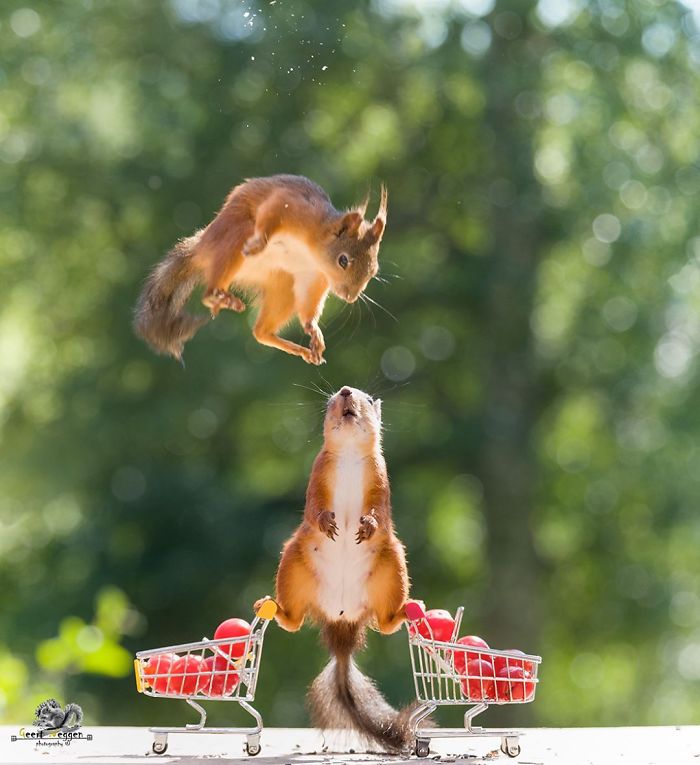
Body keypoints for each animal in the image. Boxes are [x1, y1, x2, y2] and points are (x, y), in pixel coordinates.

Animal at [133, 175, 387, 364]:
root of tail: (201, 248)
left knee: (261, 332)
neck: (313, 250)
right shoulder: (289, 206)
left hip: (282, 286)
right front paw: (259, 244)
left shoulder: (313, 277)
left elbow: (309, 305)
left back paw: (298, 348)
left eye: (374, 271)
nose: (350, 297)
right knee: (210, 290)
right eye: (343, 260)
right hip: (233, 240)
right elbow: (270, 215)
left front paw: (313, 329)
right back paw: (219, 296)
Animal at [256, 385, 413, 753]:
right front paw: (327, 521)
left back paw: (406, 611)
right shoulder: (317, 474)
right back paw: (270, 607)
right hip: (292, 566)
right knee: (292, 621)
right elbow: (313, 507)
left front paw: (369, 524)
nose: (344, 392)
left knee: (387, 624)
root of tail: (342, 622)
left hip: (393, 568)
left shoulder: (381, 479)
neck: (350, 455)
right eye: (330, 400)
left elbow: (380, 510)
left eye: (367, 399)